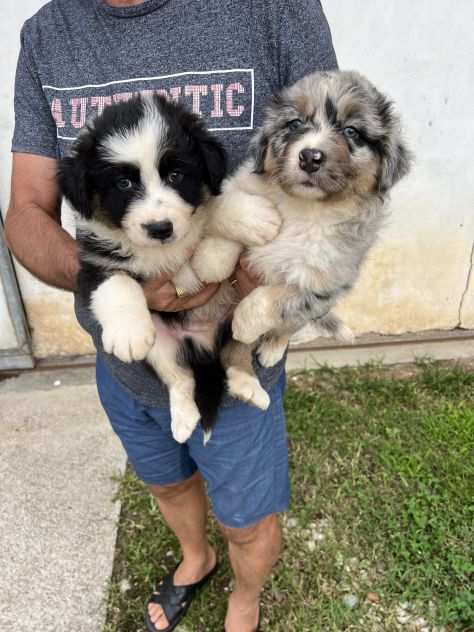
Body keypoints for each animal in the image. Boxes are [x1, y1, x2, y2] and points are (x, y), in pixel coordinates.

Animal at [58, 95, 239, 440]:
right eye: (124, 183)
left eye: (176, 176)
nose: (159, 228)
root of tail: (202, 344)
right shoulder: (92, 264)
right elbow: (118, 283)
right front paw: (127, 333)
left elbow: (221, 226)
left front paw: (213, 257)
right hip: (160, 346)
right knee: (181, 378)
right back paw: (183, 422)